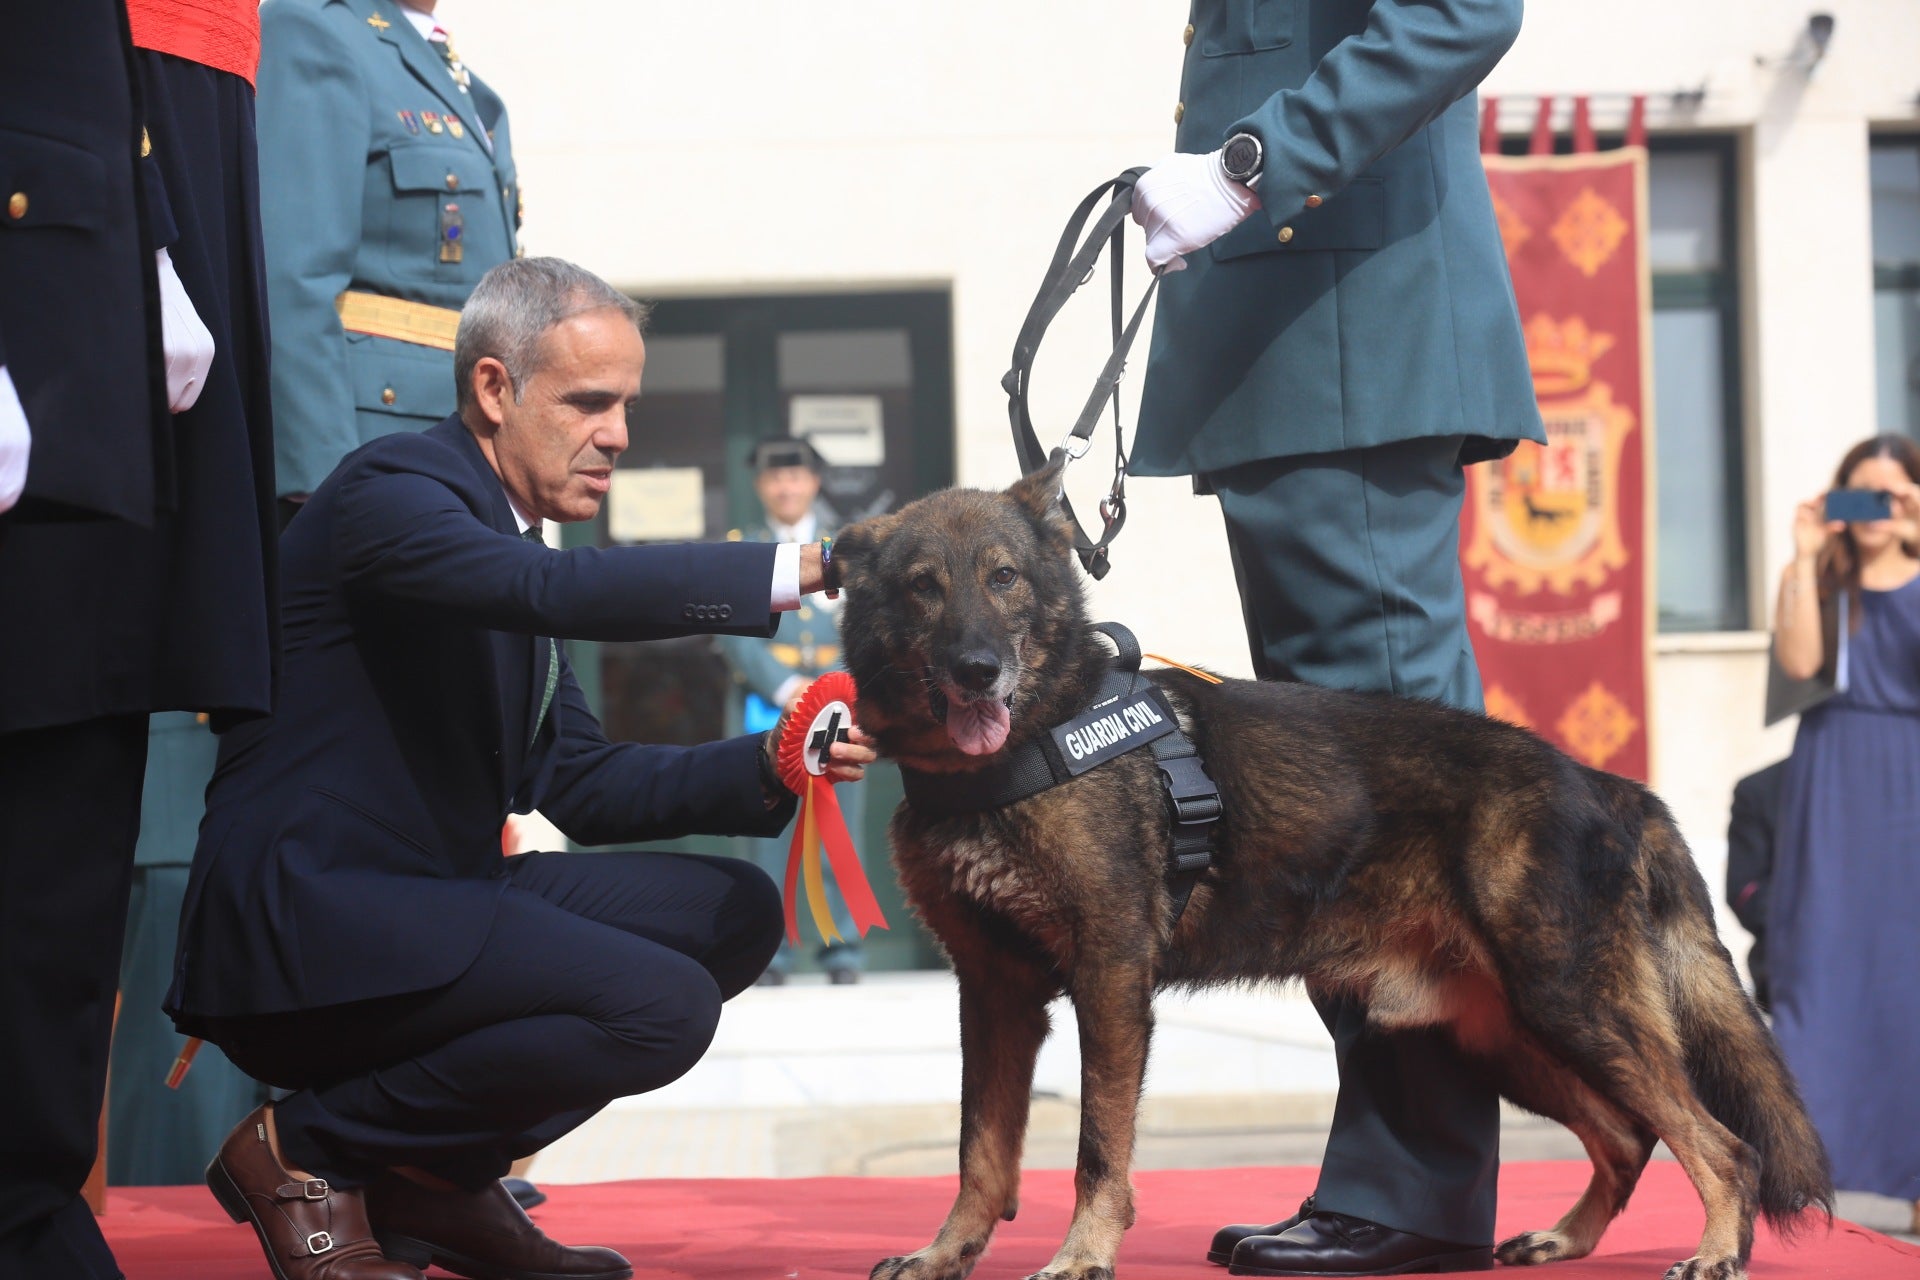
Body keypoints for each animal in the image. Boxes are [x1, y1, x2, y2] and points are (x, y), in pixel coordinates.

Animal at [833, 462, 1835, 1280]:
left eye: (1003, 577)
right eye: (923, 589)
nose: (978, 671)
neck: (1028, 743)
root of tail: (1606, 783)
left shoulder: (1108, 980)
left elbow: (1095, 1149)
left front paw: (1083, 1256)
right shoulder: (994, 994)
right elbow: (979, 1151)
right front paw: (945, 1255)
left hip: (1567, 1007)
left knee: (1720, 1144)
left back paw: (1716, 1252)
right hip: (1504, 1035)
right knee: (1629, 1137)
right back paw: (1566, 1239)